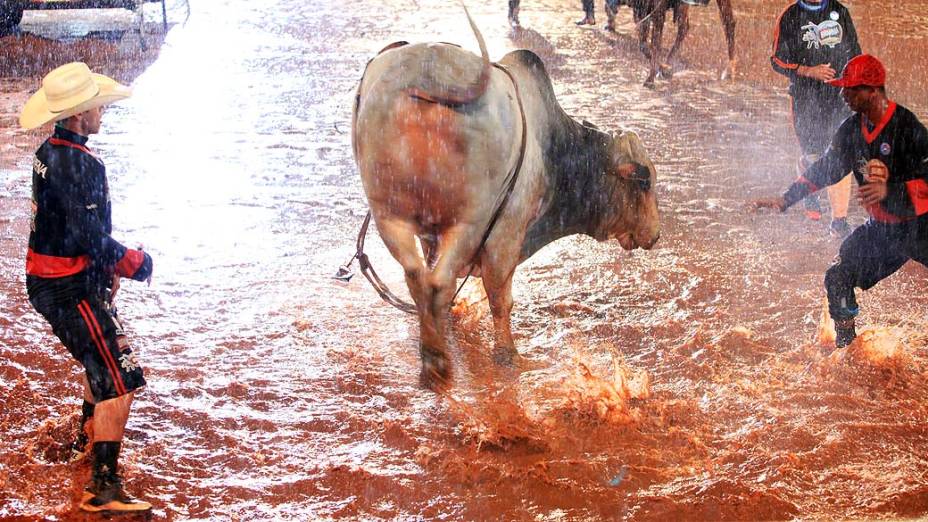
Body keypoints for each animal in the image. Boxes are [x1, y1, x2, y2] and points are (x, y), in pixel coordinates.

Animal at [350, 8, 660, 388]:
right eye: (645, 183)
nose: (655, 234)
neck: (553, 145)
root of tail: (429, 73)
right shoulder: (508, 235)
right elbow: (501, 298)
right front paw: (508, 354)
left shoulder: (432, 234)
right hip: (471, 219)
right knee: (439, 282)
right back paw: (439, 362)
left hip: (389, 215)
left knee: (418, 277)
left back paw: (432, 356)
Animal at [604, 0, 736, 87]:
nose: (612, 6)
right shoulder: (641, 11)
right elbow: (643, 46)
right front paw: (663, 69)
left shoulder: (658, 12)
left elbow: (655, 45)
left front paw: (651, 78)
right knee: (684, 28)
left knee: (729, 23)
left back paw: (729, 70)